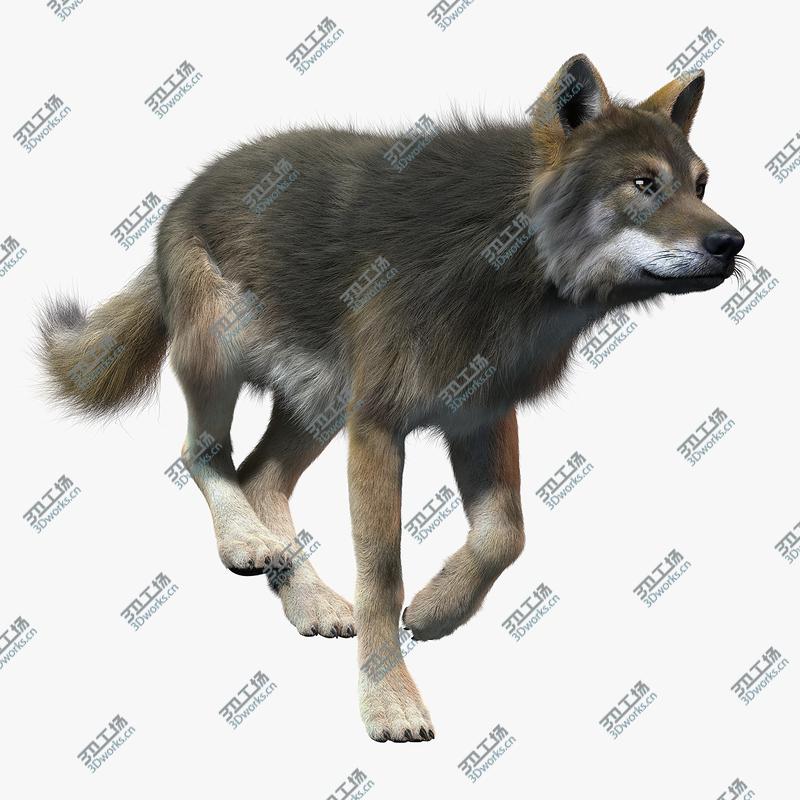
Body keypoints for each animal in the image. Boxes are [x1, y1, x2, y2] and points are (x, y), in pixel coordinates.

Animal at [37, 54, 745, 742]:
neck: (498, 257)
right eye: (644, 184)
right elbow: (381, 576)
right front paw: (389, 703)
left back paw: (310, 601)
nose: (732, 244)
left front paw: (435, 612)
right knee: (202, 453)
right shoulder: (378, 425)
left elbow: (506, 535)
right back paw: (245, 544)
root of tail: (185, 191)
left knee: (261, 475)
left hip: (321, 407)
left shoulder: (480, 414)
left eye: (701, 185)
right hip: (223, 359)